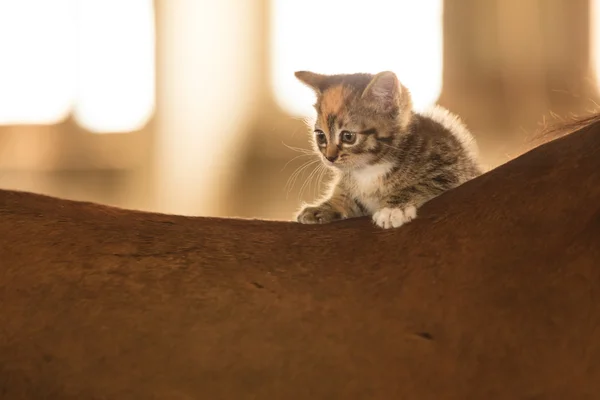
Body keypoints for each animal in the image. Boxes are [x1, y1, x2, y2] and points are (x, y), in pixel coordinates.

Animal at [292, 70, 480, 230]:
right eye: (321, 136)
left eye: (348, 136)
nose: (329, 157)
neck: (370, 168)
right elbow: (347, 197)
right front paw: (325, 207)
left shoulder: (451, 170)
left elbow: (421, 184)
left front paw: (393, 209)